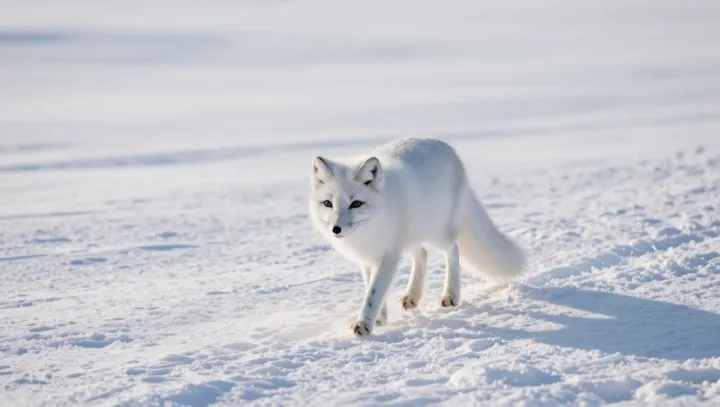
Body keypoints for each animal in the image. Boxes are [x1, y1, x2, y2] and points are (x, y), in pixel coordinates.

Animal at [309, 138, 525, 336]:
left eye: (356, 204)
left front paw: (364, 324)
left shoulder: (388, 255)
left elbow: (373, 293)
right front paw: (379, 319)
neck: (371, 226)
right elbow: (373, 288)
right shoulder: (368, 258)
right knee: (422, 254)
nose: (336, 229)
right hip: (412, 237)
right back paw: (413, 296)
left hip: (439, 233)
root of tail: (448, 148)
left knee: (453, 251)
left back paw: (451, 294)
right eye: (328, 203)